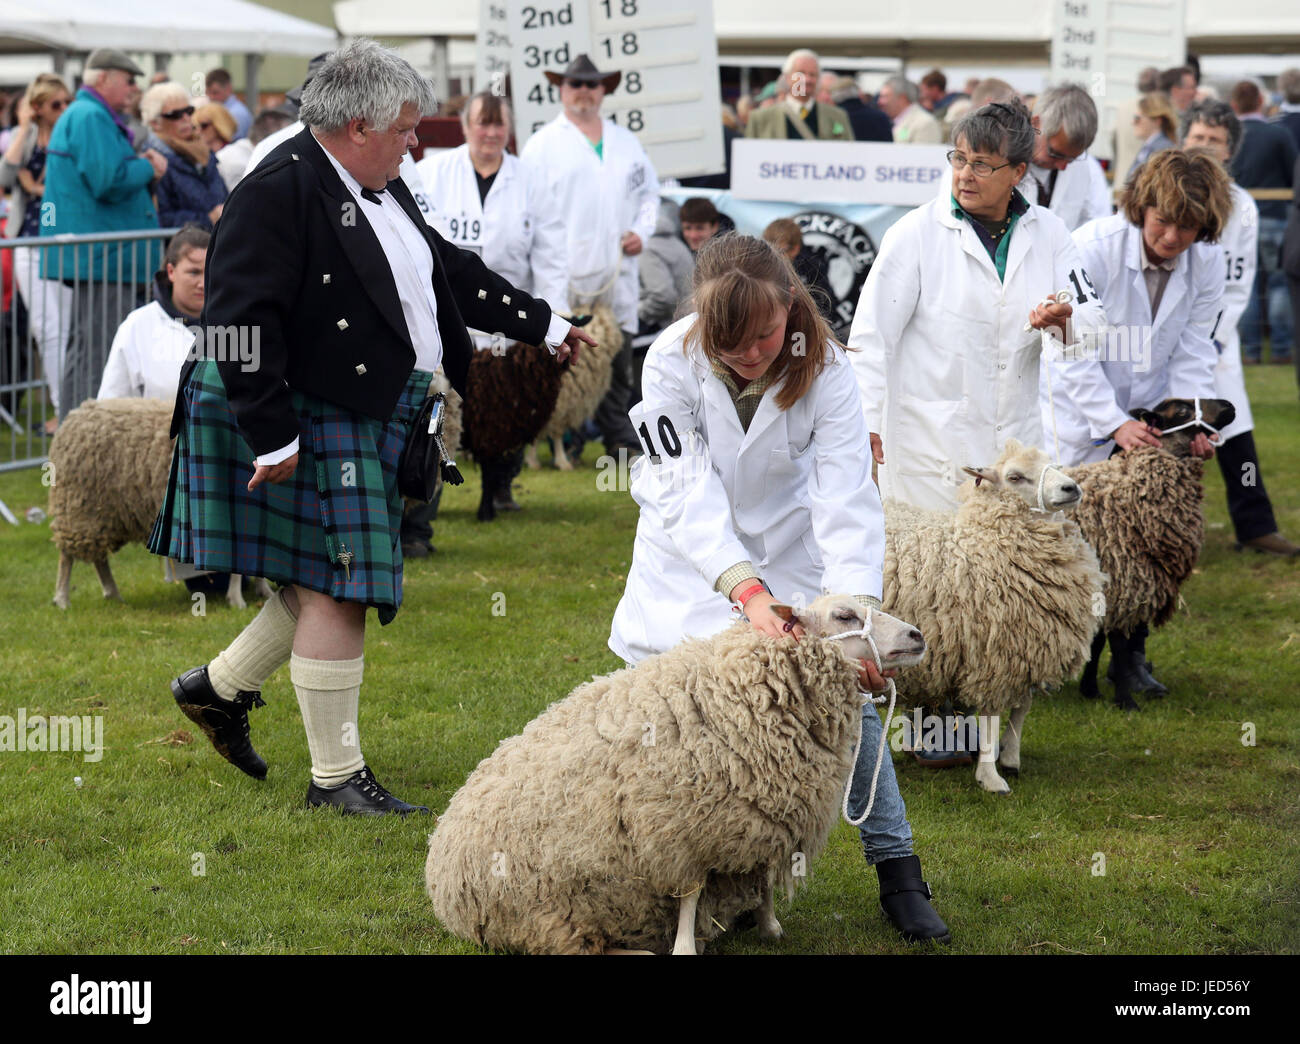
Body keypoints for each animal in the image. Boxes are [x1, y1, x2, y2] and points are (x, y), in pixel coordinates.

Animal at [48, 400, 269, 613]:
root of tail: (74, 415)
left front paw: (263, 591)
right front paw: (237, 600)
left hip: (102, 514)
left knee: (99, 558)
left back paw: (113, 594)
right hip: (78, 508)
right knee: (67, 556)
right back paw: (63, 598)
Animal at [426, 595, 925, 956]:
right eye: (844, 615)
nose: (918, 635)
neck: (745, 693)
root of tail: (441, 873)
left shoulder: (760, 814)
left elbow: (762, 875)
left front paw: (768, 924)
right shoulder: (680, 829)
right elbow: (690, 893)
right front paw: (685, 945)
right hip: (548, 913)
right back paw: (637, 951)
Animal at [878, 439, 1102, 790]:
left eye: (1054, 464)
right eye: (1015, 476)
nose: (1071, 488)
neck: (988, 538)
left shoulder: (1026, 651)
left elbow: (1022, 708)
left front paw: (1010, 756)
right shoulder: (994, 655)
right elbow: (992, 717)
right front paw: (990, 776)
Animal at [1060, 397, 1232, 712]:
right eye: (1182, 411)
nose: (1229, 405)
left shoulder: (1107, 586)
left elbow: (1098, 642)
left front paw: (1090, 690)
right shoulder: (1121, 581)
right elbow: (1117, 644)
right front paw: (1125, 701)